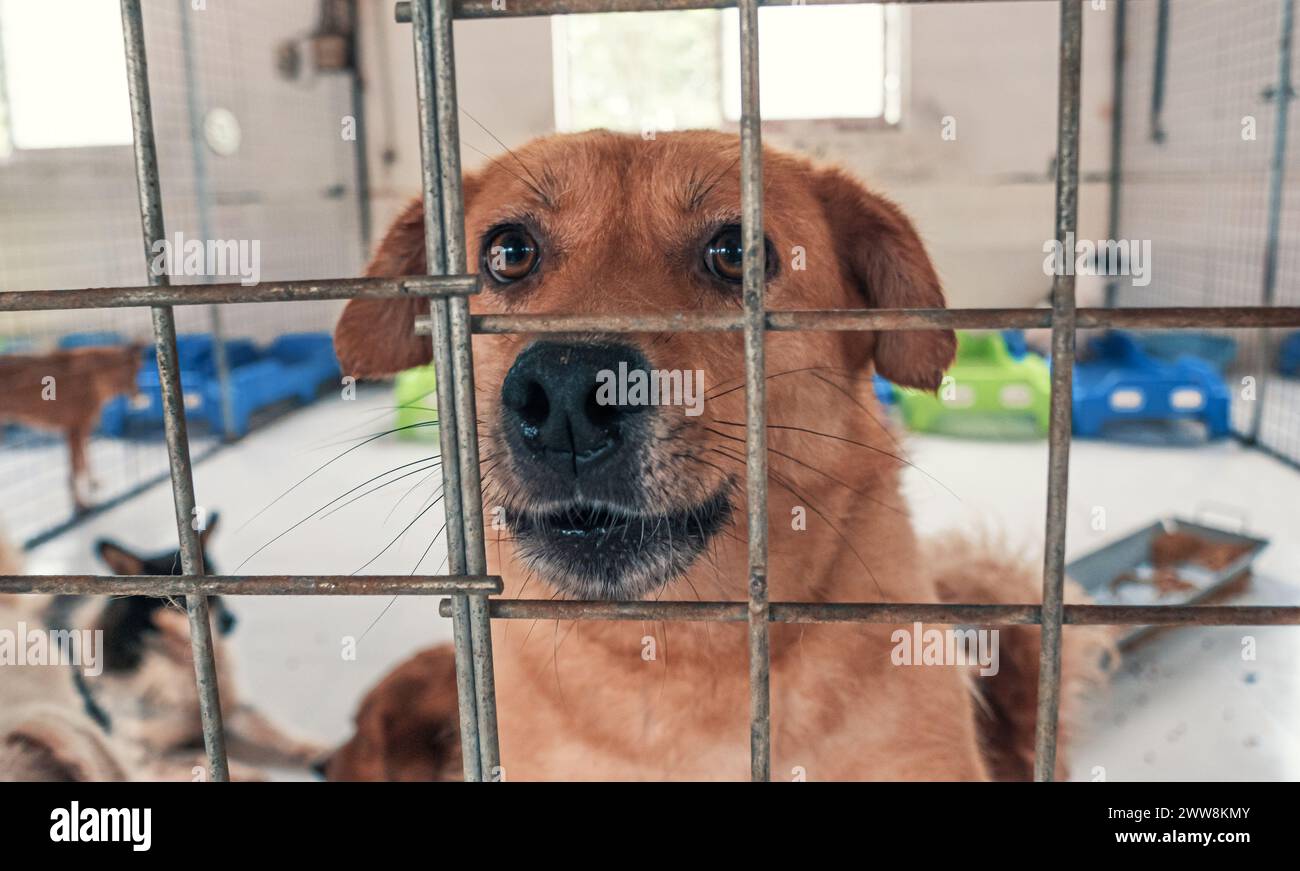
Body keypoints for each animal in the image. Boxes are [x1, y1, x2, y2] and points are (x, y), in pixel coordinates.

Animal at [1, 520, 325, 785]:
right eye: (178, 599)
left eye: (218, 586)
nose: (231, 621)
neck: (176, 664)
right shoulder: (137, 757)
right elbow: (201, 760)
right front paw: (248, 772)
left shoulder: (234, 709)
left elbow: (276, 730)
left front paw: (319, 750)